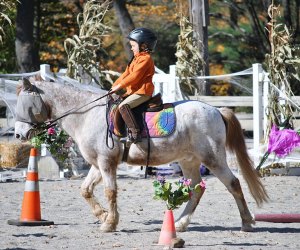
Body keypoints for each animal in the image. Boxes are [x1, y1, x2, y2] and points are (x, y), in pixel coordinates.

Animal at [14, 78, 268, 232]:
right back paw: (181, 223)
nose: (18, 135)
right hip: (189, 161)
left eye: (24, 103)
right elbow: (85, 190)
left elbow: (110, 191)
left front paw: (110, 223)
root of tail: (216, 110)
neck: (86, 115)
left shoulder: (106, 163)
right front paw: (102, 215)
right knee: (196, 189)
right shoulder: (97, 164)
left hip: (212, 159)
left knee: (233, 183)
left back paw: (246, 222)